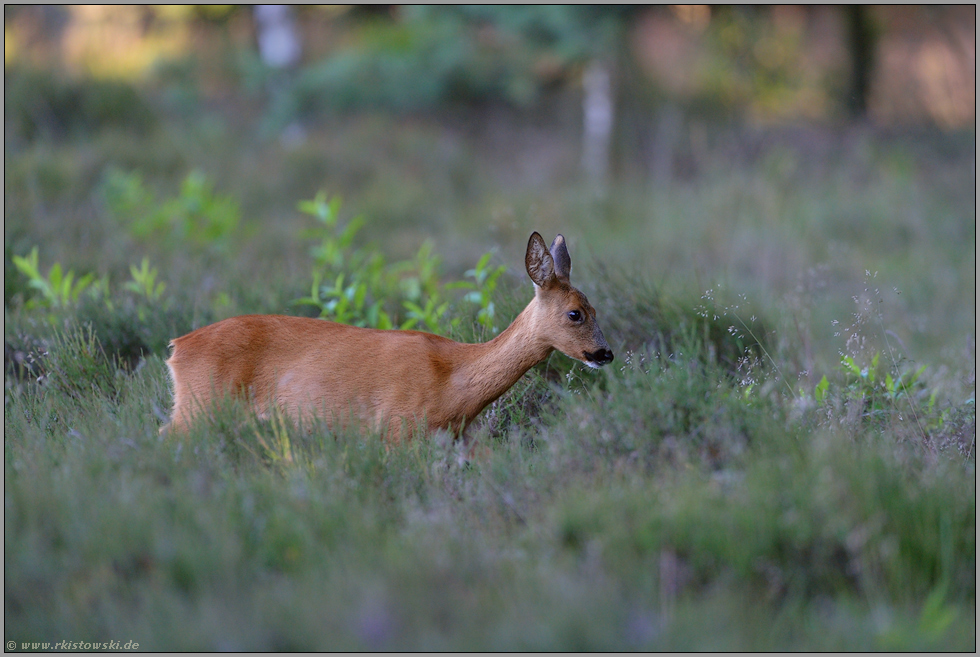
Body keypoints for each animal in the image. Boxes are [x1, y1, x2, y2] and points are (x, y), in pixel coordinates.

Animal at [163, 232, 613, 442]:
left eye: (595, 309)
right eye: (575, 313)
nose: (605, 353)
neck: (453, 380)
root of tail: (176, 347)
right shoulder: (398, 427)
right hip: (199, 406)